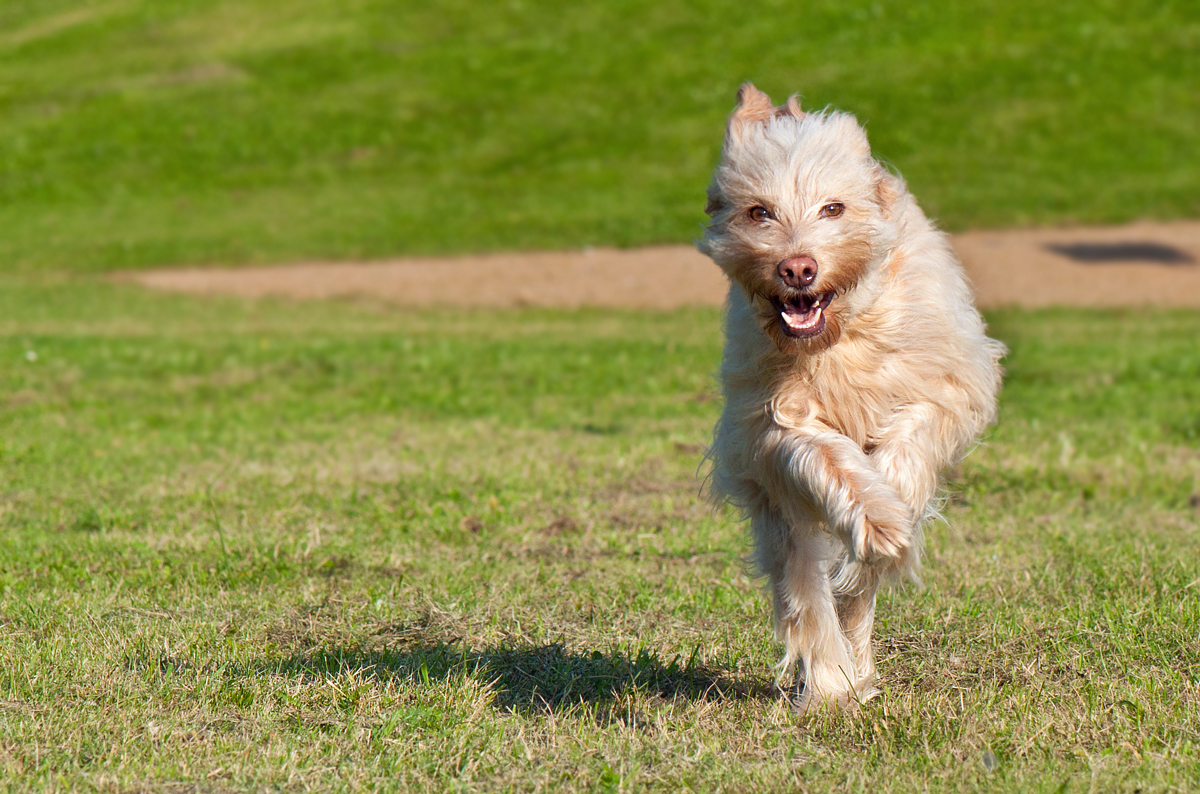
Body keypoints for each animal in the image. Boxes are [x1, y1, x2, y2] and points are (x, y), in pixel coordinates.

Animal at [700, 83, 1008, 710]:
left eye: (833, 209)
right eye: (759, 211)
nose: (797, 268)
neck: (840, 338)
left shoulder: (944, 385)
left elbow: (909, 442)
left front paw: (890, 513)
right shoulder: (770, 424)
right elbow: (824, 457)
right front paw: (875, 515)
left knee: (853, 593)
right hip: (778, 515)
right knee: (803, 587)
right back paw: (829, 680)